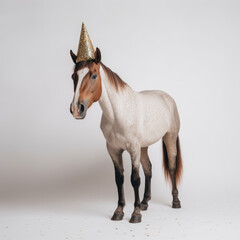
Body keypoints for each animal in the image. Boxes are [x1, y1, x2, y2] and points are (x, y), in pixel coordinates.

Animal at [70, 47, 183, 223]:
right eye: (73, 76)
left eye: (94, 75)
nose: (76, 109)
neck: (118, 114)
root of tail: (167, 97)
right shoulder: (114, 150)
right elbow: (119, 179)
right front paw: (119, 211)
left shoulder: (133, 149)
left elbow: (134, 179)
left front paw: (135, 214)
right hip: (144, 147)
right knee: (148, 169)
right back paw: (145, 202)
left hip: (169, 138)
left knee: (171, 167)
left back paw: (175, 201)